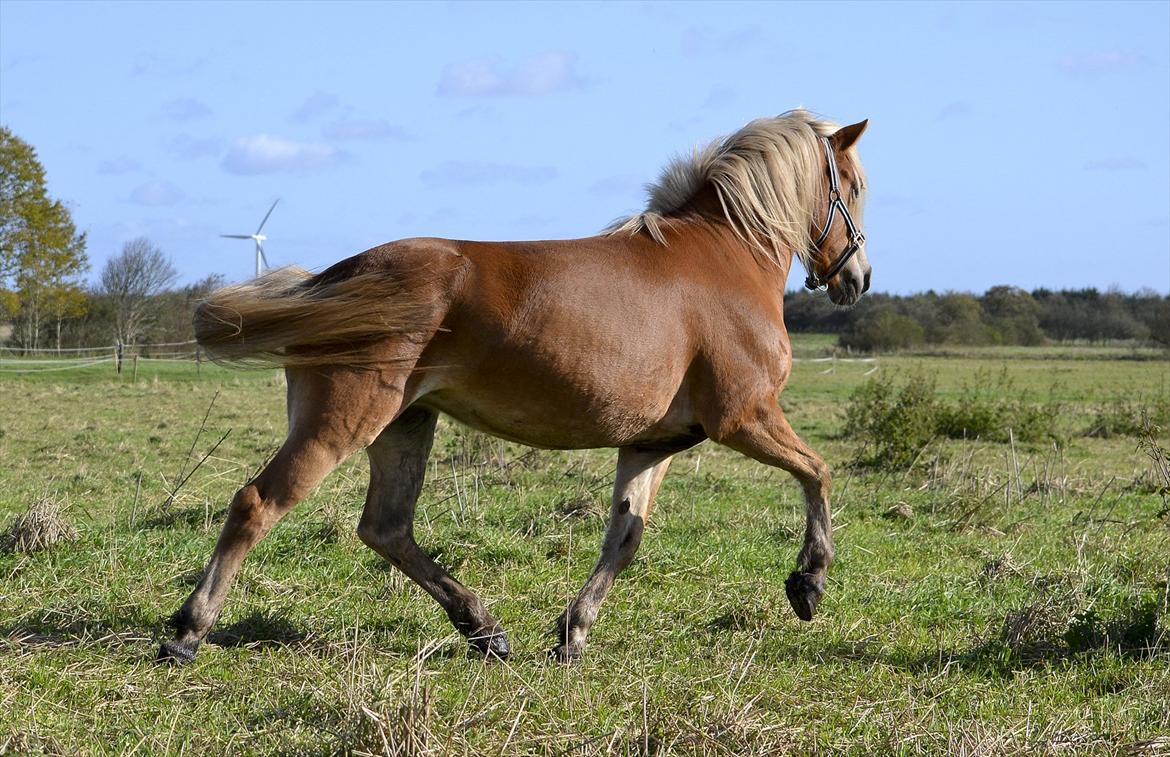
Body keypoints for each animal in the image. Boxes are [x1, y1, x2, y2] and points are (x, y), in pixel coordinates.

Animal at [157, 108, 870, 664]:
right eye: (857, 187)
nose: (857, 277)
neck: (725, 259)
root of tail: (334, 277)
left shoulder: (653, 443)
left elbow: (625, 537)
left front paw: (573, 633)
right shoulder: (744, 416)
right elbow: (819, 471)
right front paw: (808, 583)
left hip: (405, 424)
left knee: (386, 528)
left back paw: (483, 629)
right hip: (342, 422)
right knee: (257, 504)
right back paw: (187, 631)